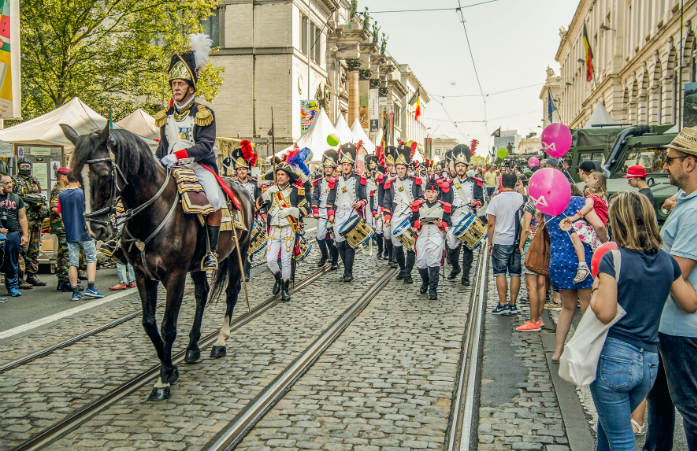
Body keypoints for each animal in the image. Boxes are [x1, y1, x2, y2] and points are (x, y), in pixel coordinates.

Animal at [61, 124, 254, 402]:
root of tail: (240, 189)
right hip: (198, 266)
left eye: (104, 174)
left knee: (231, 292)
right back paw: (193, 347)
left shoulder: (175, 276)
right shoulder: (143, 275)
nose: (95, 228)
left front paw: (162, 380)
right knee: (202, 293)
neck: (153, 213)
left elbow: (168, 326)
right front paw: (169, 368)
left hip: (238, 253)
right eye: (76, 175)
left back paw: (220, 341)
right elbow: (149, 323)